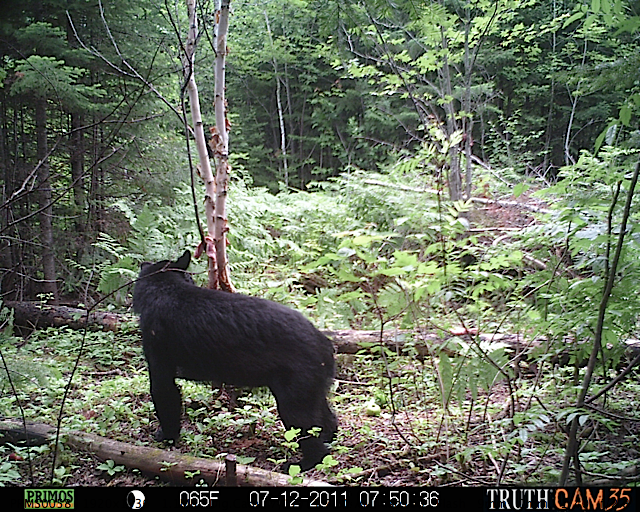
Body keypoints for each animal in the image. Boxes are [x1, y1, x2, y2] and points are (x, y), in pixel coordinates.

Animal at [132, 250, 338, 470]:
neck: (166, 288)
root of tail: (325, 344)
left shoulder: (159, 360)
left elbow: (164, 397)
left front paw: (166, 437)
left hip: (294, 399)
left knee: (311, 437)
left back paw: (298, 464)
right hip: (312, 391)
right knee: (328, 421)